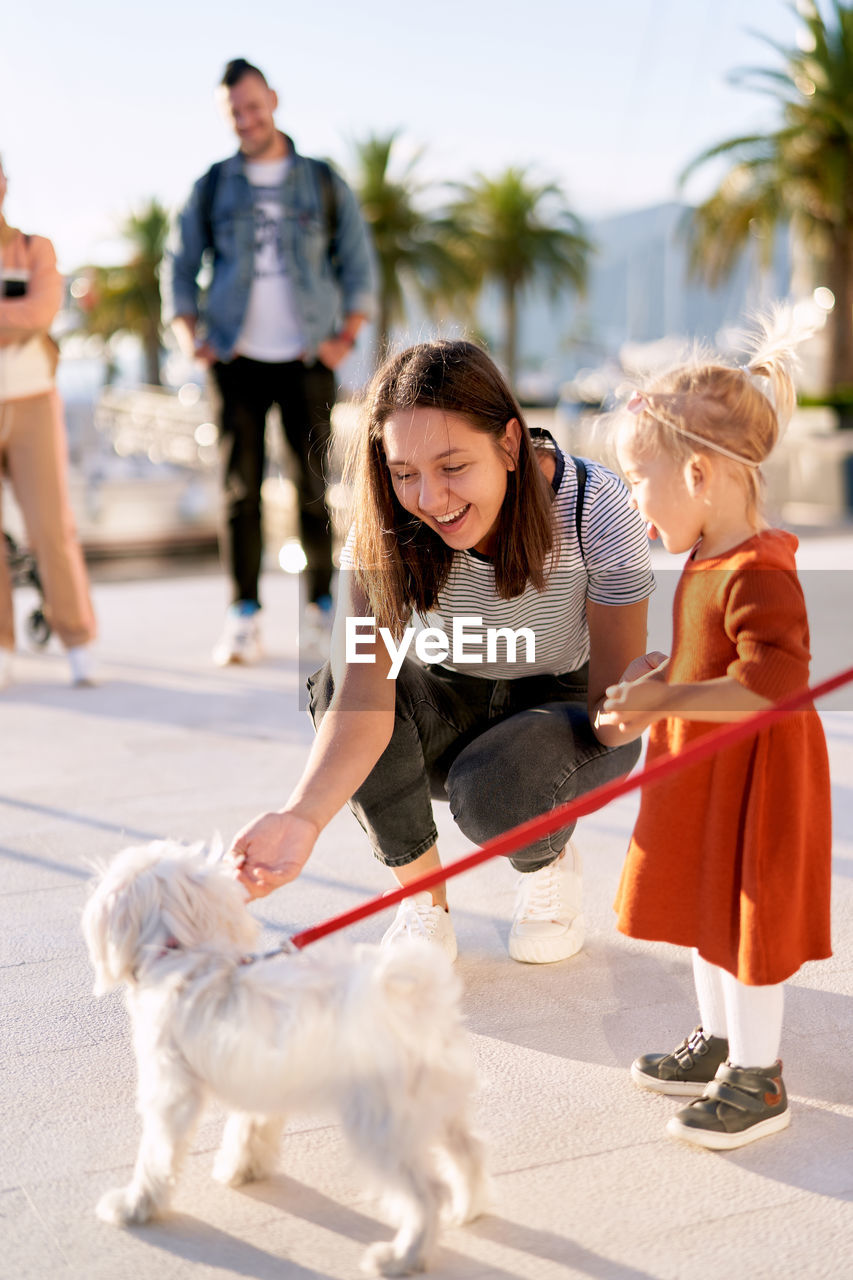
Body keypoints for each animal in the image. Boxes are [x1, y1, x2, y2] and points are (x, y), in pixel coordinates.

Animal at [84, 839, 491, 1269]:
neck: (187, 956)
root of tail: (411, 1002)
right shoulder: (258, 1079)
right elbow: (250, 1126)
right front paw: (243, 1168)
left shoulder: (171, 1091)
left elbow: (157, 1155)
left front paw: (134, 1206)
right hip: (437, 1103)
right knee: (469, 1152)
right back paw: (467, 1210)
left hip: (380, 1124)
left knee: (427, 1191)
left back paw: (403, 1257)